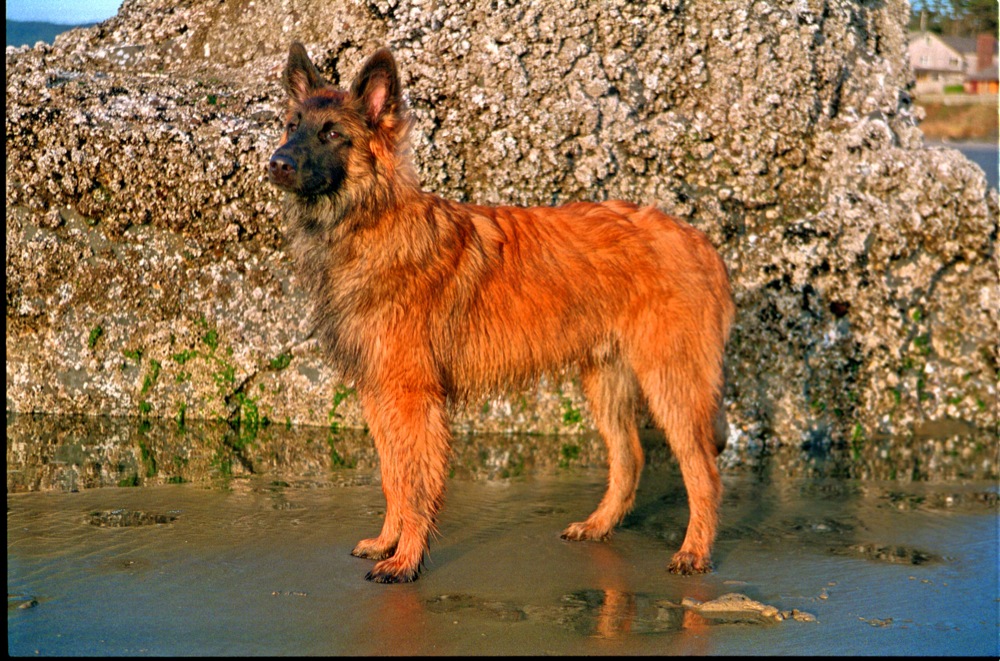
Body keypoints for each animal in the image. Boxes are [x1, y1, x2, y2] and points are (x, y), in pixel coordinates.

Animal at [268, 45, 736, 584]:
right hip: (607, 381)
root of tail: (699, 241)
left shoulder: (412, 399)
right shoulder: (380, 394)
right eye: (291, 126)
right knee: (630, 459)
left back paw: (694, 551)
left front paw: (406, 560)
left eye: (331, 134)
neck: (372, 222)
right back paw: (599, 526)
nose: (277, 165)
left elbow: (415, 484)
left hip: (671, 382)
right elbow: (393, 477)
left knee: (703, 473)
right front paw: (388, 542)